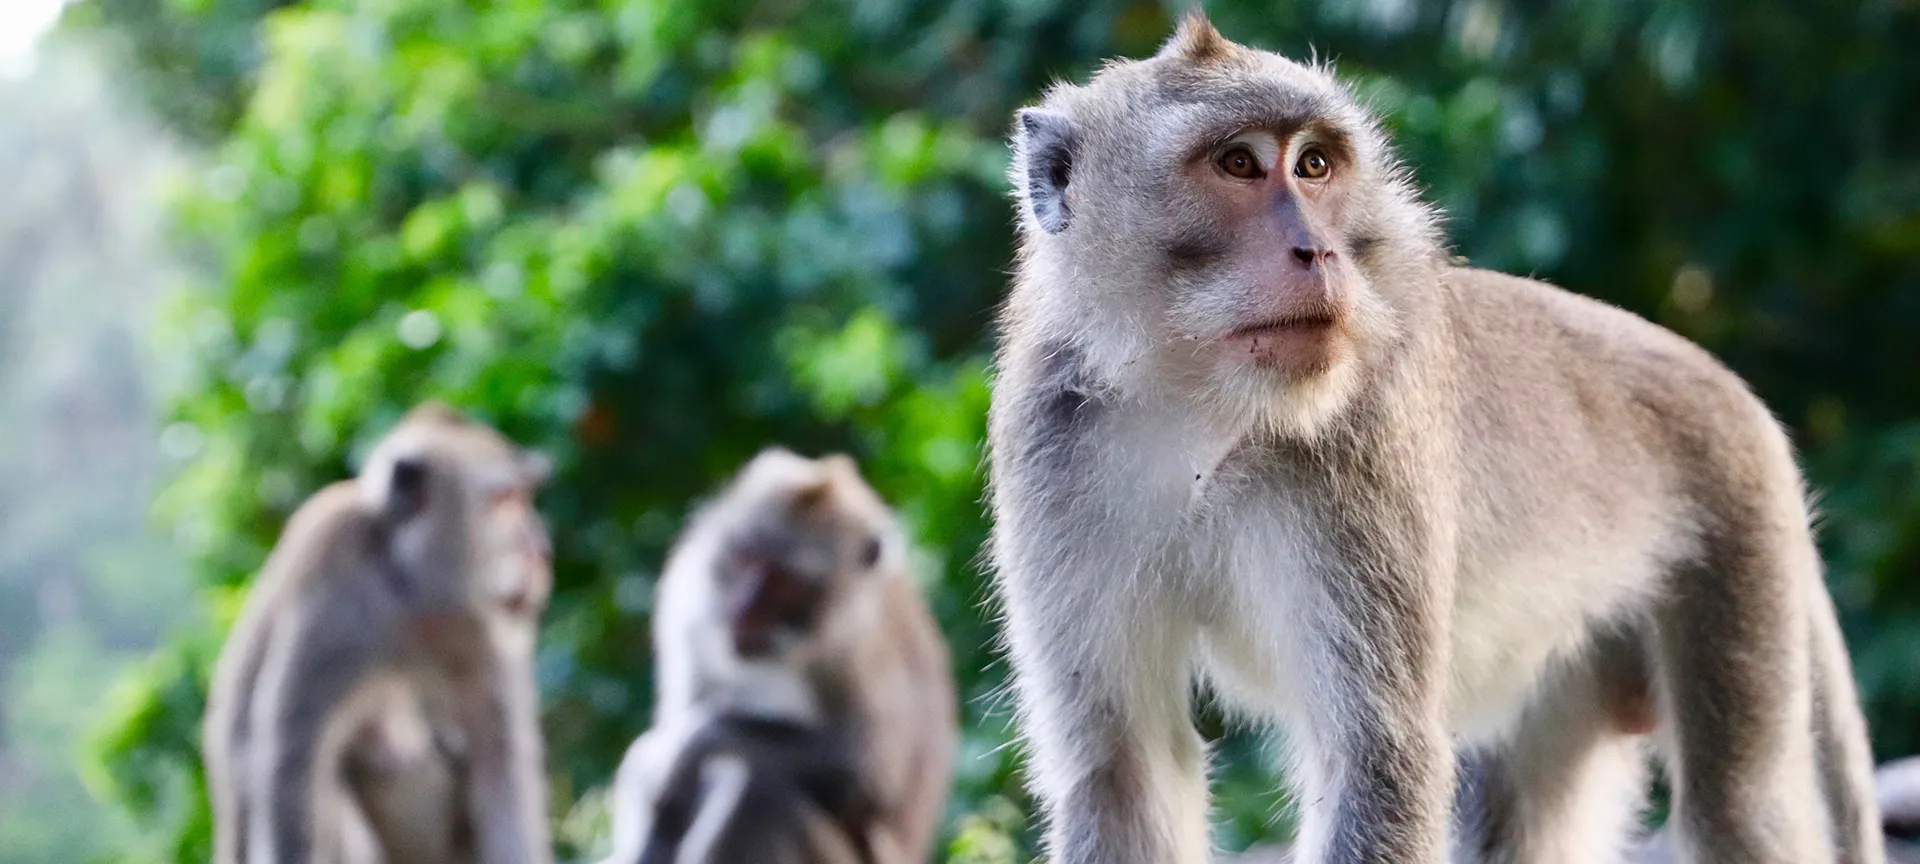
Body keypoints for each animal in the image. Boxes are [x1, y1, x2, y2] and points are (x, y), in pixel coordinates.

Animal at [206, 403, 560, 864]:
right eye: (505, 503)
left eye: (524, 498)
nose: (541, 550)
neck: (408, 588)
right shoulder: (332, 568)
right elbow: (292, 756)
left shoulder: (485, 632)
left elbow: (499, 757)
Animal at [602, 449, 956, 864]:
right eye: (745, 559)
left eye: (784, 583)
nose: (742, 610)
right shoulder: (687, 606)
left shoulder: (857, 646)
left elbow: (867, 771)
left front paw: (691, 747)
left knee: (760, 792)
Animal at [983, 11, 1881, 864]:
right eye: (1237, 164)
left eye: (1314, 166)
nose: (1319, 251)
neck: (1201, 406)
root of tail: (1729, 388)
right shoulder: (1047, 444)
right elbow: (1122, 767)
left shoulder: (1366, 435)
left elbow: (1378, 757)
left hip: (1737, 532)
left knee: (1738, 807)